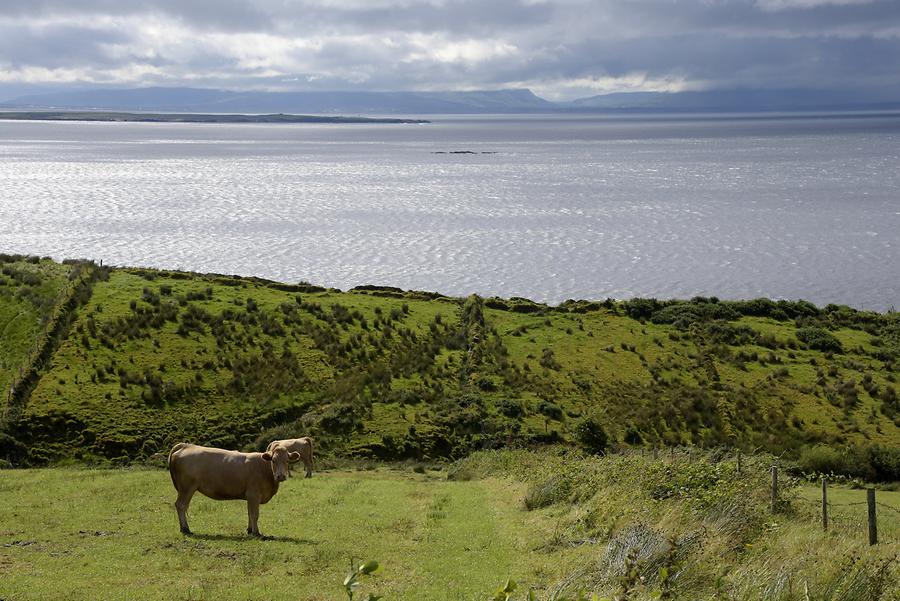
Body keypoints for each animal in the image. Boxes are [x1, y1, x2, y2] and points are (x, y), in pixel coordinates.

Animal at [165, 440, 298, 536]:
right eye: (273, 460)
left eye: (287, 461)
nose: (281, 476)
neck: (264, 468)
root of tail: (187, 445)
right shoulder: (254, 494)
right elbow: (254, 514)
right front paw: (256, 533)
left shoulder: (250, 497)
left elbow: (249, 513)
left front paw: (249, 530)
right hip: (187, 487)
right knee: (181, 505)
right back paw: (185, 529)